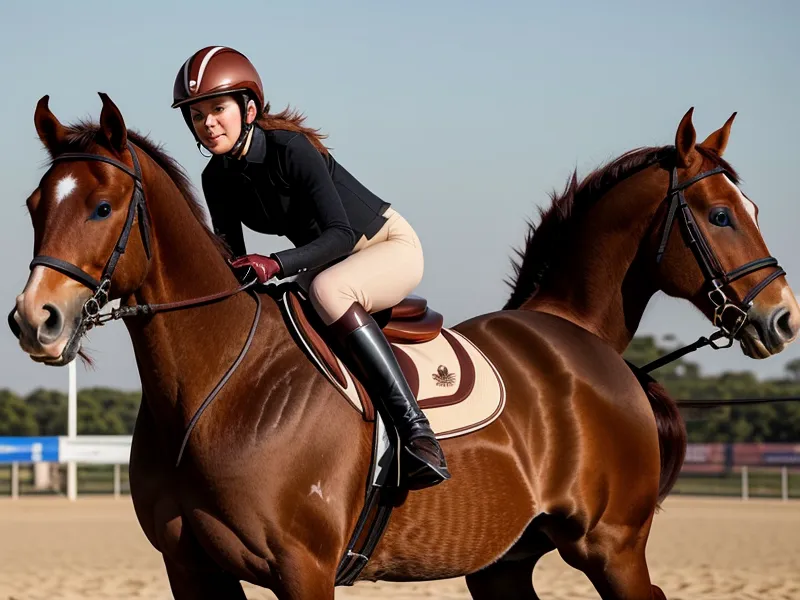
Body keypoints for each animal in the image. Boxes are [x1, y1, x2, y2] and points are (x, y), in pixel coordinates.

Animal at [9, 93, 799, 599]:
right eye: (35, 205)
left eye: (102, 207)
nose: (33, 321)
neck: (212, 385)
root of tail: (580, 333)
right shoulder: (191, 569)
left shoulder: (302, 569)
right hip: (505, 563)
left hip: (612, 544)